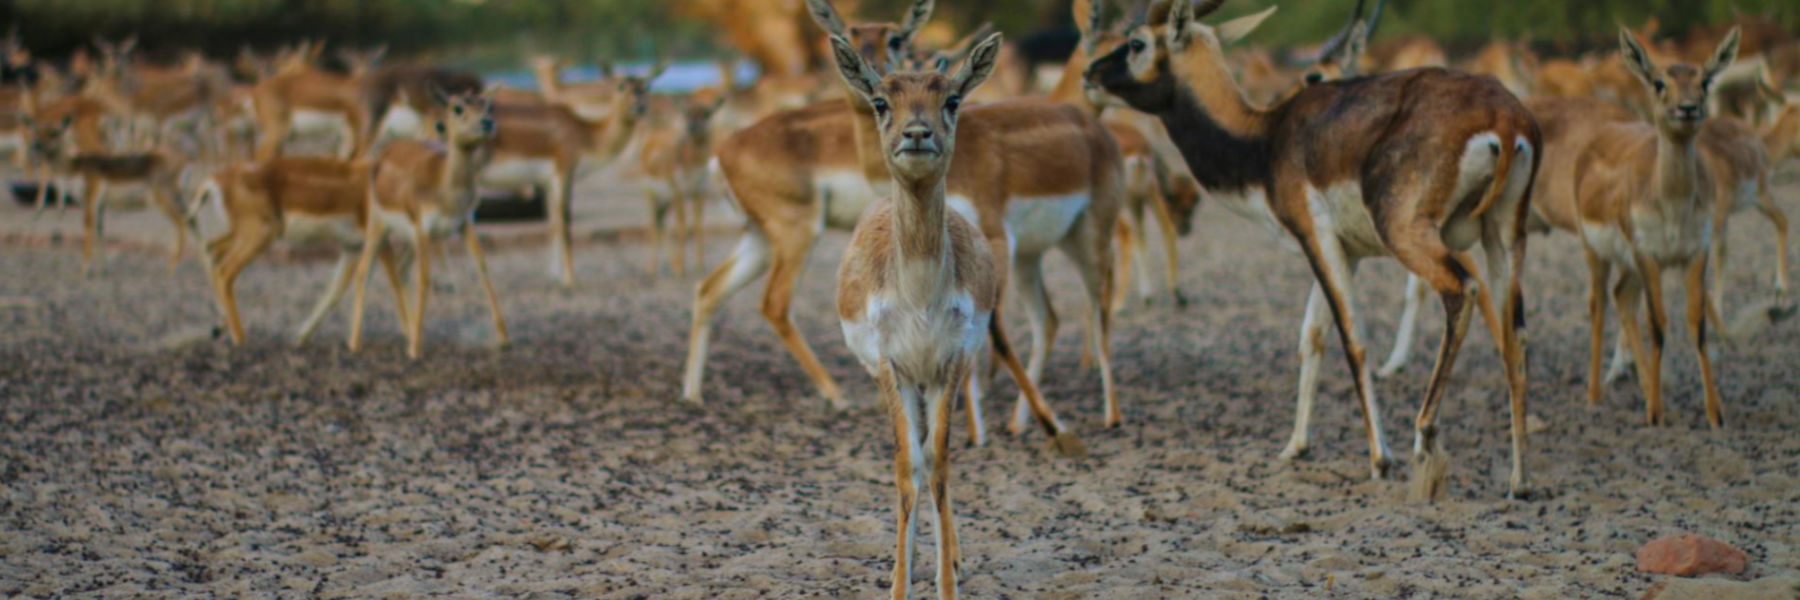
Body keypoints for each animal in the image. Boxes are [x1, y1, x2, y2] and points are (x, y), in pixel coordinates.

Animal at [26, 115, 197, 277]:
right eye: (36, 131)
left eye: (54, 132)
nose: (35, 145)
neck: (75, 167)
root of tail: (184, 158)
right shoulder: (100, 208)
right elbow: (100, 234)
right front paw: (102, 271)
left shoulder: (89, 203)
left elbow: (88, 231)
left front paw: (85, 270)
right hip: (180, 200)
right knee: (194, 225)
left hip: (162, 200)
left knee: (182, 224)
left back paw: (172, 268)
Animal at [348, 89, 505, 359]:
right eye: (457, 107)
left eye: (487, 105)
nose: (487, 123)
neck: (444, 186)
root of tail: (383, 154)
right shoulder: (423, 228)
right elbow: (424, 280)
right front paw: (415, 349)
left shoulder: (464, 225)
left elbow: (483, 269)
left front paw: (504, 338)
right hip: (379, 227)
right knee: (364, 270)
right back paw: (355, 342)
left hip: (410, 239)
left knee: (401, 269)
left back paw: (409, 329)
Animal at [829, 31, 1067, 600]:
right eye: (881, 101)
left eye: (952, 99)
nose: (917, 133)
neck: (917, 295)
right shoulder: (891, 364)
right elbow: (905, 465)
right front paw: (899, 584)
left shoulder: (950, 361)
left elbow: (939, 462)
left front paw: (946, 581)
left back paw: (952, 558)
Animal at [1086, 0, 1538, 499]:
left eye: (1136, 43)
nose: (1089, 75)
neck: (1265, 138)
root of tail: (1504, 117)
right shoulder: (1347, 251)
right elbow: (1313, 336)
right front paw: (1295, 447)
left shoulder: (1315, 237)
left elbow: (1352, 338)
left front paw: (1380, 459)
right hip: (1505, 236)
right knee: (1515, 334)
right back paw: (1519, 481)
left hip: (1409, 235)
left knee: (1461, 291)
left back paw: (1424, 440)